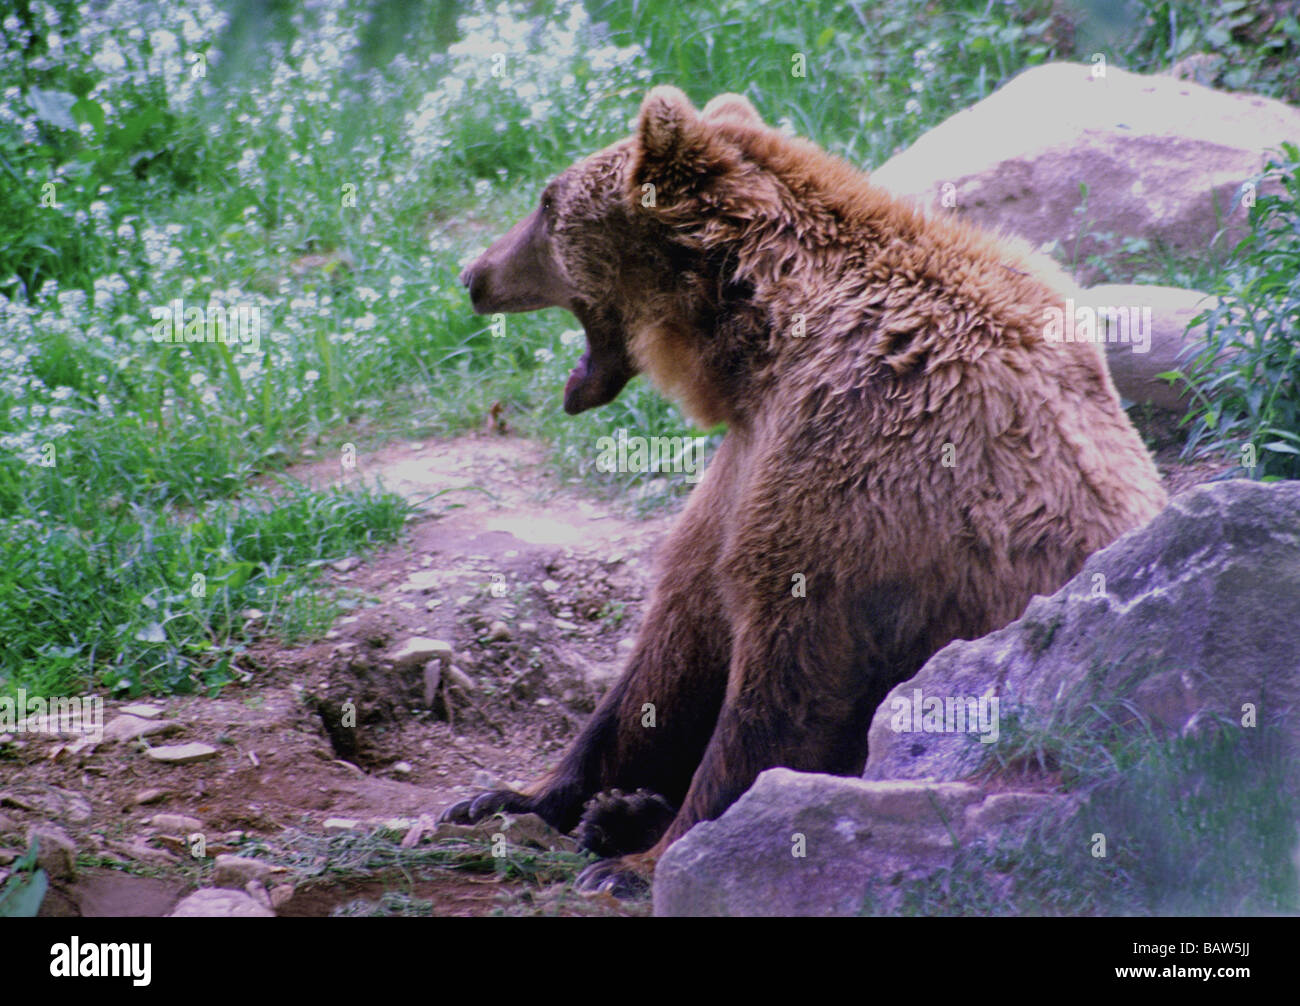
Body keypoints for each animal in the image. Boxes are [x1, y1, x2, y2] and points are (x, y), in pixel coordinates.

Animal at [447, 84, 1170, 889]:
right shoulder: (744, 465)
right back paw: (617, 810)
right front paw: (506, 796)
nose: (473, 275)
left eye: (546, 203)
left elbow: (785, 675)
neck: (760, 346)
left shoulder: (856, 455)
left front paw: (644, 861)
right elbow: (671, 644)